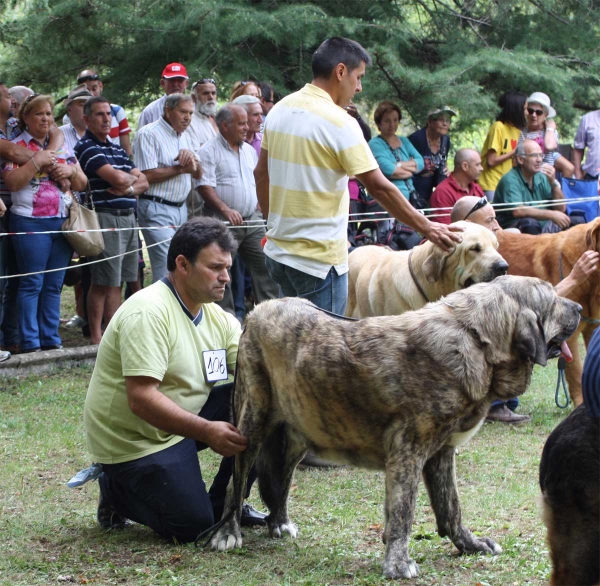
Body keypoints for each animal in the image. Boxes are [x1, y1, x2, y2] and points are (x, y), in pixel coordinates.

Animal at [211, 276, 580, 576]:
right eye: (553, 299)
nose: (578, 307)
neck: (475, 340)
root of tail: (257, 310)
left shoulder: (441, 454)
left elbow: (451, 509)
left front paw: (470, 545)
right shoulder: (408, 452)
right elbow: (404, 510)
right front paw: (399, 563)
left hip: (296, 436)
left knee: (281, 480)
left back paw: (280, 522)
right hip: (252, 422)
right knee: (236, 482)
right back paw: (228, 532)